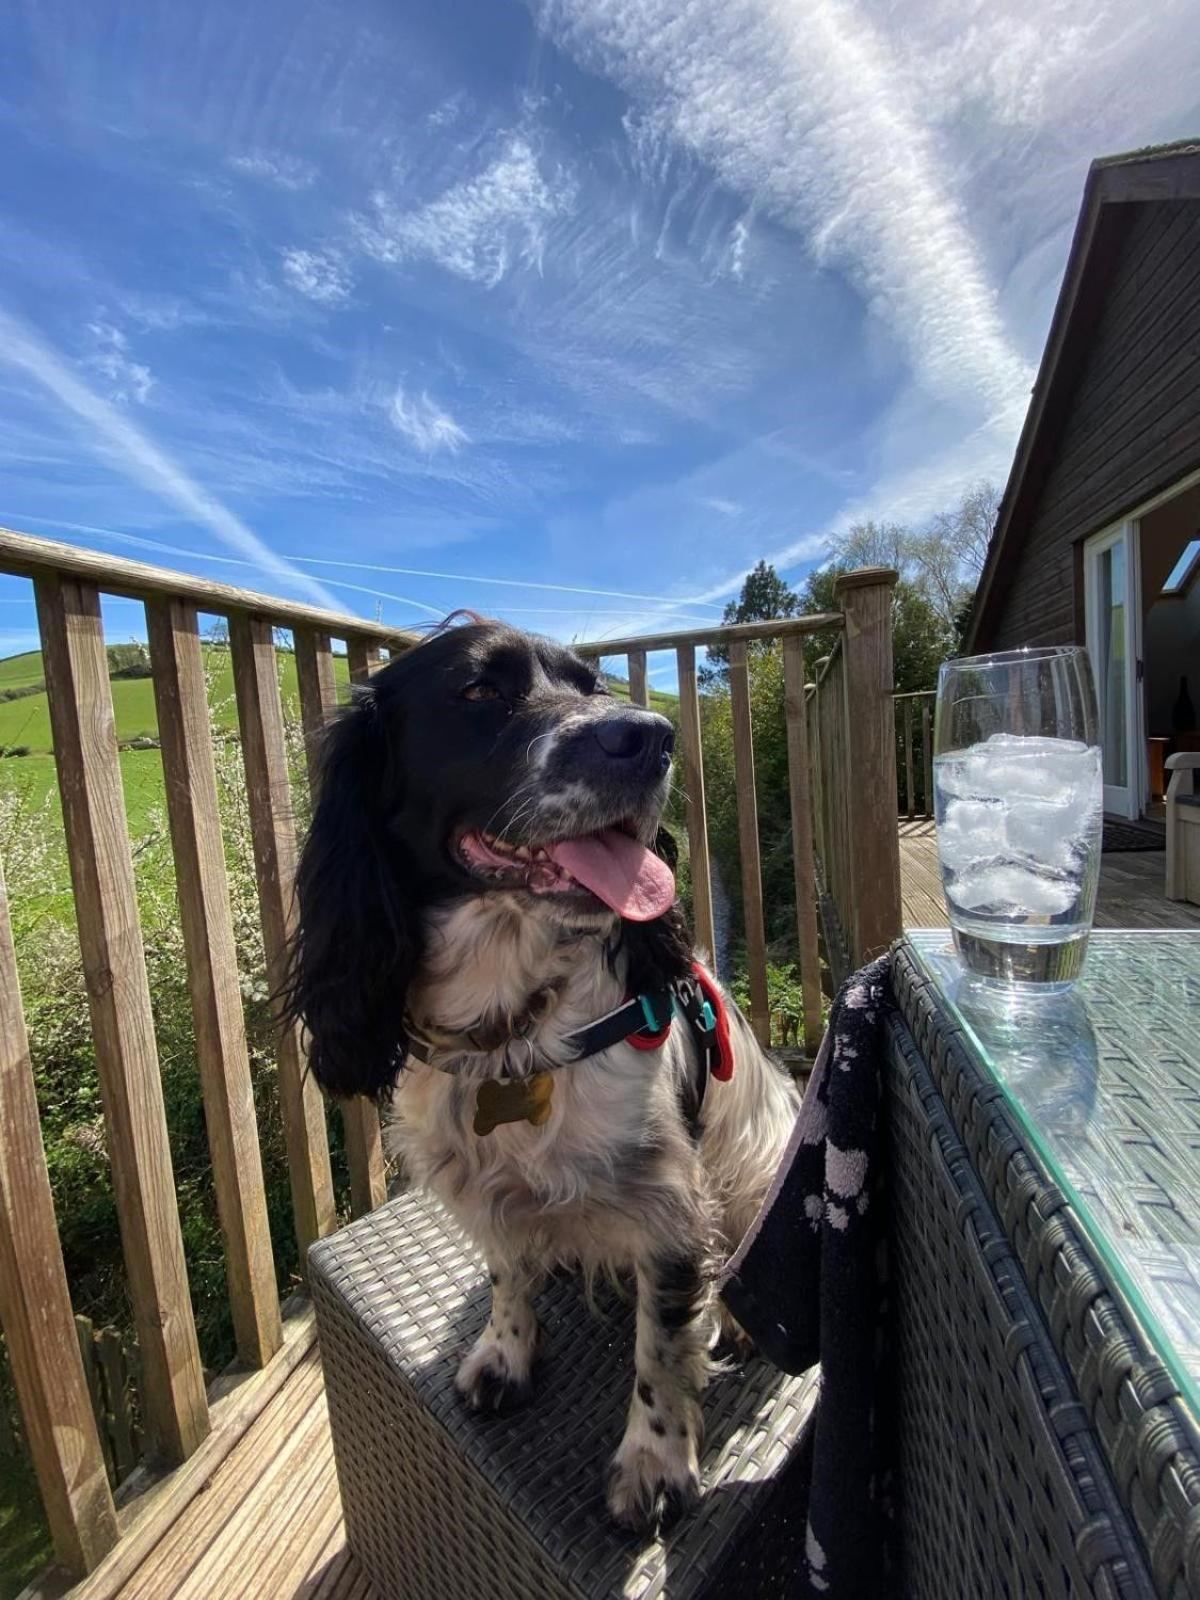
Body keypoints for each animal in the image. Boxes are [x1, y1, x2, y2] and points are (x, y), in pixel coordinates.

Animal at [286, 617, 803, 1529]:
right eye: (477, 691)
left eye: (593, 687)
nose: (653, 737)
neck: (510, 1024)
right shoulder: (484, 1183)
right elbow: (507, 1269)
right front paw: (505, 1353)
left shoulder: (669, 1203)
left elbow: (661, 1344)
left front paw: (654, 1462)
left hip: (759, 1153)